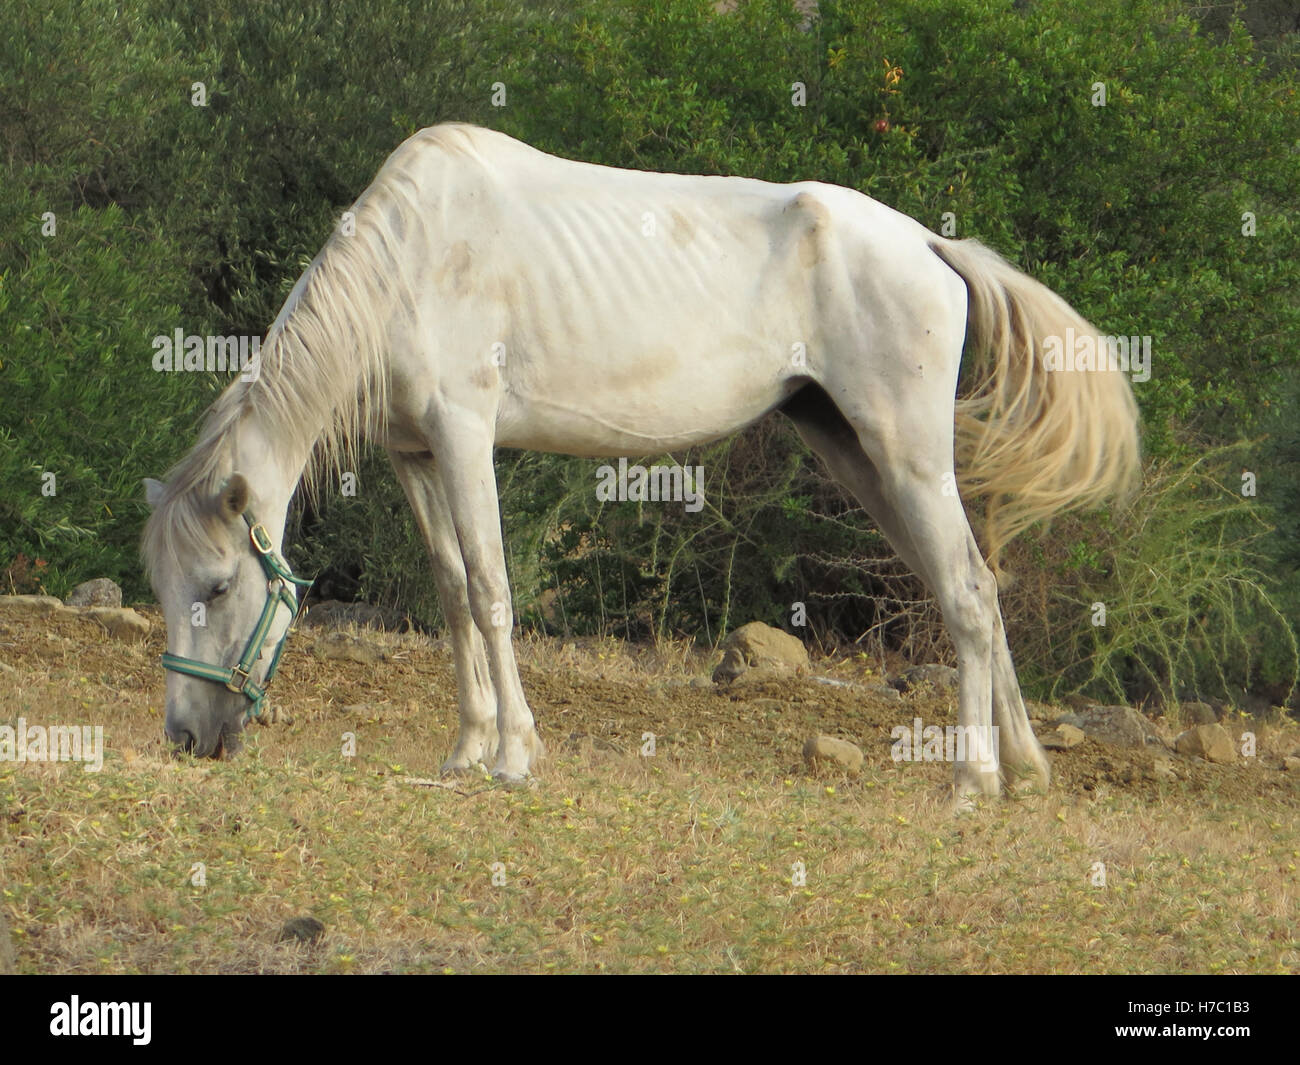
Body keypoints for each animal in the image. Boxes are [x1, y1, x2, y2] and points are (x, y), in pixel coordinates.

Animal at [142, 122, 1138, 801]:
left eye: (220, 587)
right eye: (163, 587)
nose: (185, 739)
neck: (411, 260)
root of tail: (931, 244)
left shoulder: (466, 437)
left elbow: (494, 590)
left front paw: (515, 756)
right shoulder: (417, 456)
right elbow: (454, 593)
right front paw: (465, 749)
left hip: (906, 457)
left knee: (966, 593)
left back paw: (975, 781)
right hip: (862, 458)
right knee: (974, 586)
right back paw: (1026, 765)